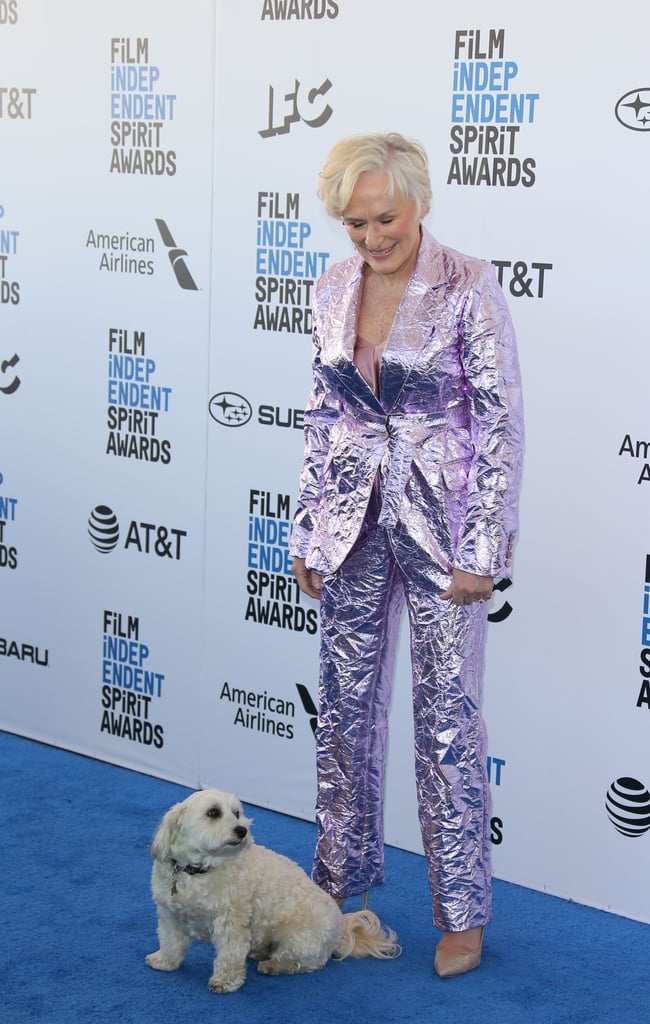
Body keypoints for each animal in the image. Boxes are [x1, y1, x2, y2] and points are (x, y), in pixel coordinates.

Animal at [148, 782, 401, 991]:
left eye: (236, 813)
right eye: (213, 813)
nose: (242, 830)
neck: (199, 871)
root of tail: (340, 930)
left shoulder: (231, 924)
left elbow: (229, 955)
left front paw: (225, 981)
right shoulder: (169, 916)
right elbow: (171, 942)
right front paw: (164, 962)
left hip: (299, 940)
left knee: (307, 963)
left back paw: (274, 965)